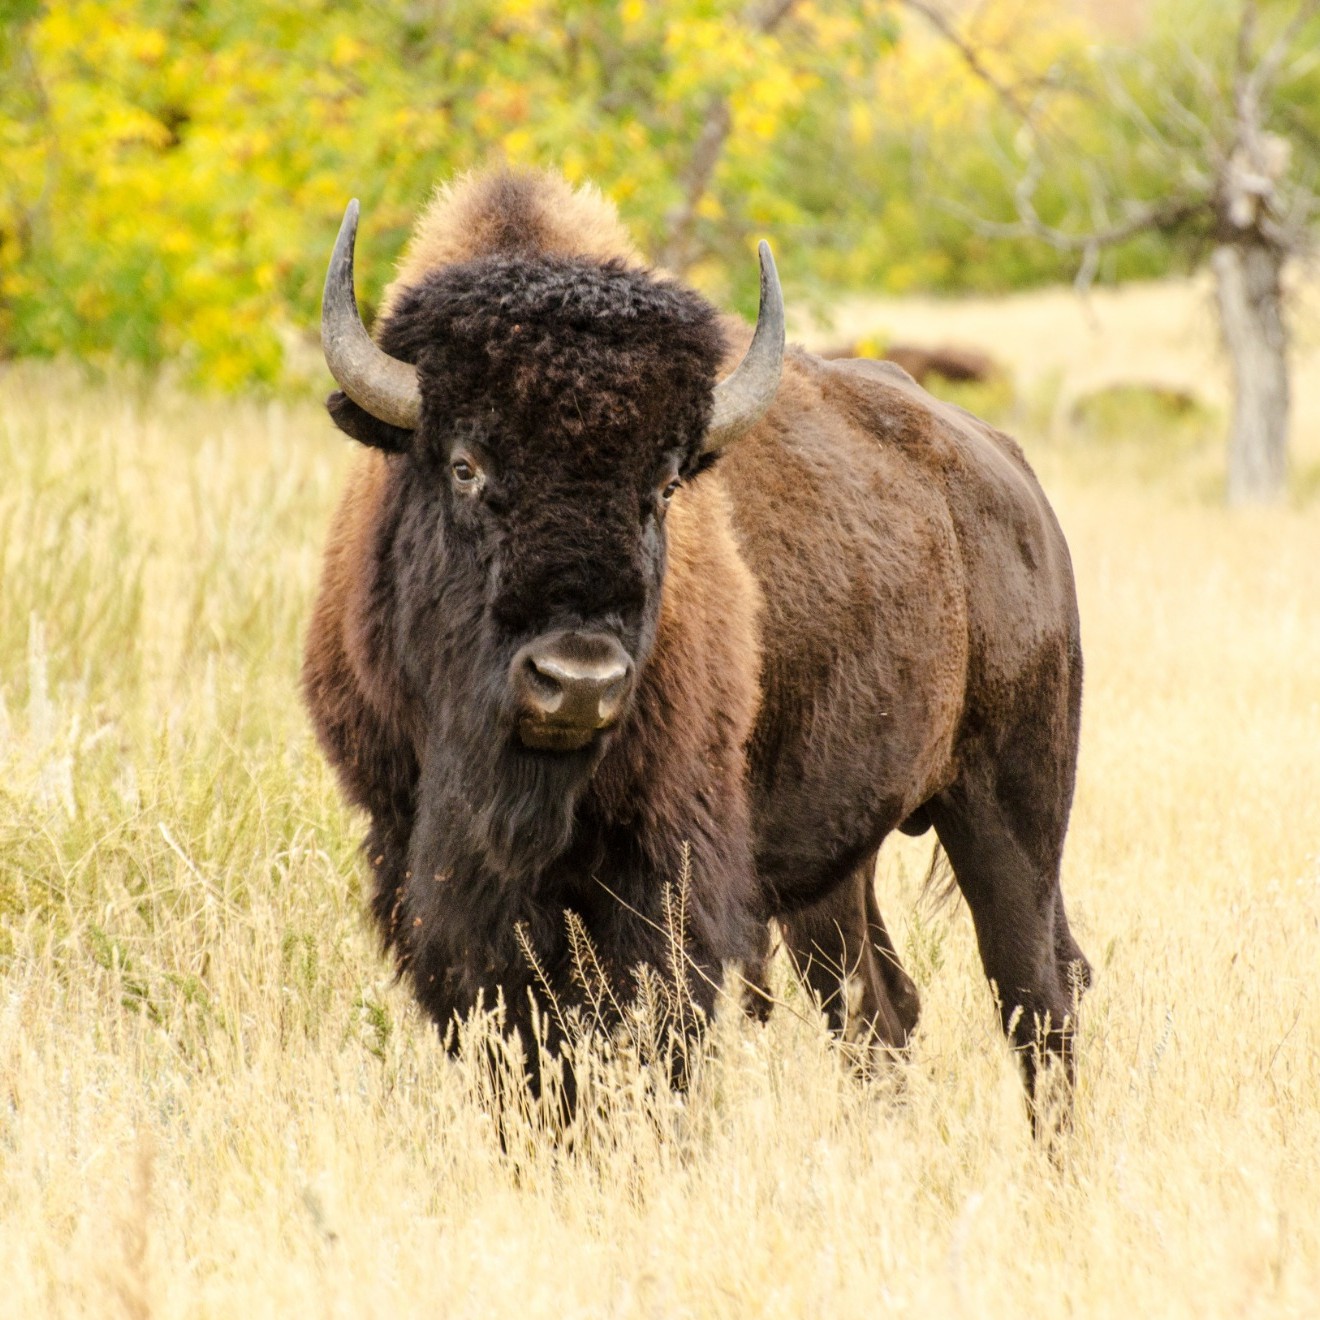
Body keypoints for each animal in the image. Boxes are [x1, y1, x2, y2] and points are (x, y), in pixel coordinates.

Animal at [303, 168, 1090, 1123]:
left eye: (666, 484)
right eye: (465, 465)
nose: (577, 681)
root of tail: (1006, 471)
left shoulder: (670, 877)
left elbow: (652, 1043)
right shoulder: (420, 861)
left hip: (1012, 805)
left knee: (1036, 1000)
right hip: (839, 866)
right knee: (879, 1007)